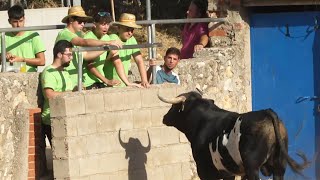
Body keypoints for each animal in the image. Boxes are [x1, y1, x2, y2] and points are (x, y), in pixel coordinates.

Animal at [158, 91, 310, 180]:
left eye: (174, 107)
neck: (202, 121)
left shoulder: (205, 171)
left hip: (253, 168)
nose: (164, 117)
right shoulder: (228, 173)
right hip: (279, 167)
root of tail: (266, 112)